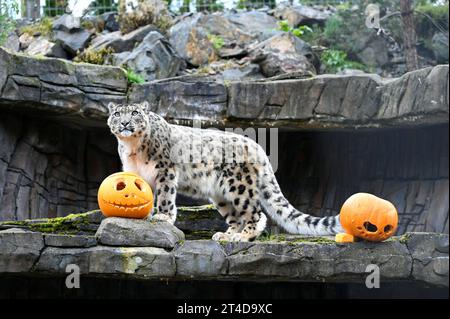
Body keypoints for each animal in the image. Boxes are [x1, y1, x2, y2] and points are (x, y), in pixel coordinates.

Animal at [106, 101, 344, 241]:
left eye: (135, 112)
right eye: (117, 113)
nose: (125, 123)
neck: (132, 147)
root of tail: (257, 147)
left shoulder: (165, 170)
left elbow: (165, 195)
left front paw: (163, 216)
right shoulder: (135, 172)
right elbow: (141, 192)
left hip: (239, 186)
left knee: (256, 214)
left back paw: (243, 237)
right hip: (220, 195)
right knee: (236, 217)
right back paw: (226, 235)